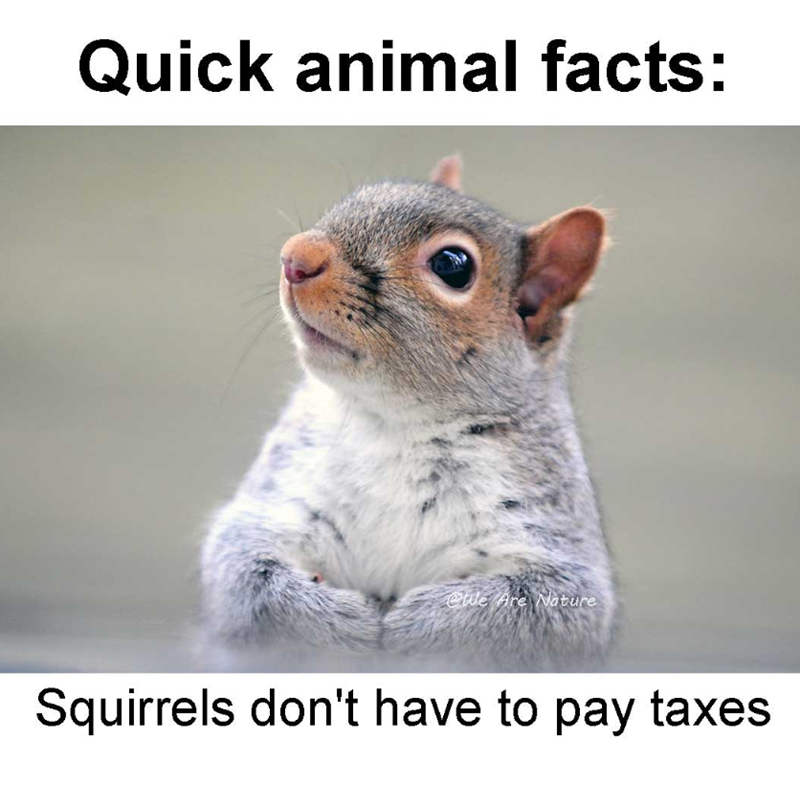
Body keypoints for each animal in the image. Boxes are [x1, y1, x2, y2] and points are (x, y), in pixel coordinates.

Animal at [201, 155, 617, 670]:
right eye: (358, 196)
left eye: (452, 265)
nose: (296, 257)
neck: (395, 424)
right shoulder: (278, 498)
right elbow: (242, 573)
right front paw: (337, 619)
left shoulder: (554, 542)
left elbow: (542, 610)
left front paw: (422, 624)